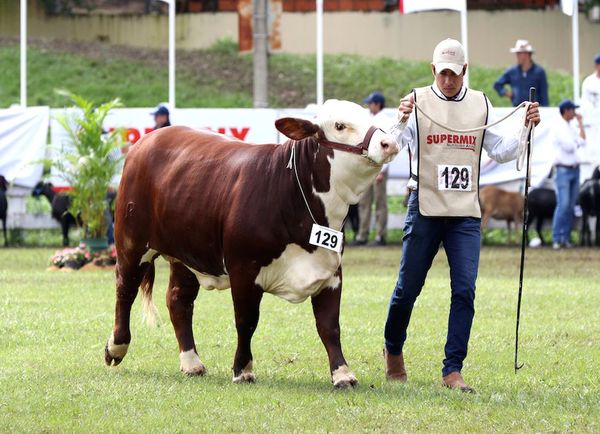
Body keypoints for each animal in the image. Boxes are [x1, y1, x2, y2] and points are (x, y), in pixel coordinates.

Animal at [104, 100, 398, 388]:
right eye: (339, 125)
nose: (389, 143)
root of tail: (149, 139)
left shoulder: (330, 271)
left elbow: (329, 325)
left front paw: (342, 374)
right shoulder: (244, 269)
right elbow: (246, 321)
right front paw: (243, 369)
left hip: (187, 253)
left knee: (178, 300)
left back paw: (191, 363)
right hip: (131, 241)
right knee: (125, 289)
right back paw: (116, 347)